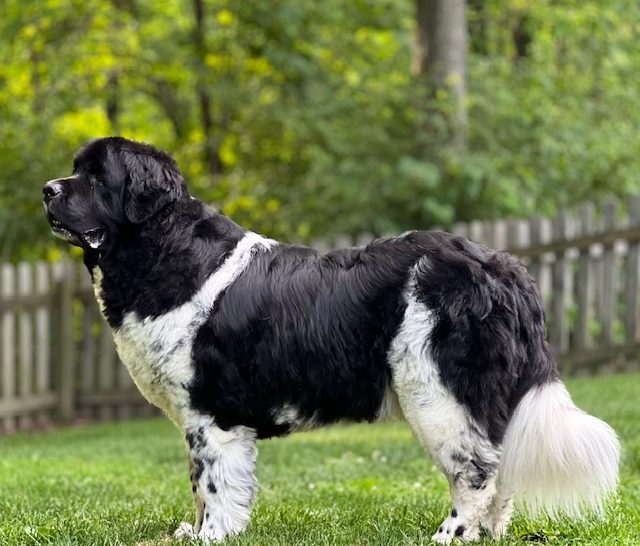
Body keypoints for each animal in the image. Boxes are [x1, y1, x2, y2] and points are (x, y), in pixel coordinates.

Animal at [41, 135, 620, 540]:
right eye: (75, 170)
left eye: (98, 178)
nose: (47, 190)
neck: (158, 247)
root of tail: (503, 268)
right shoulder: (196, 419)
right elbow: (199, 484)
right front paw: (192, 531)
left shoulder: (211, 414)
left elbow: (214, 482)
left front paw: (210, 536)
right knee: (499, 476)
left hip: (437, 391)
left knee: (477, 473)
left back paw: (449, 535)